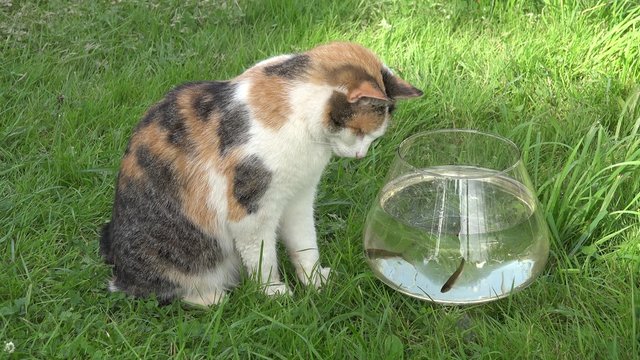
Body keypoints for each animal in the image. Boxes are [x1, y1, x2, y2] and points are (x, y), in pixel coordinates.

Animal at [100, 42, 422, 306]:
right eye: (359, 132)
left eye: (373, 137)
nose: (360, 155)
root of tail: (119, 268)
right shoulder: (250, 209)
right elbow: (262, 254)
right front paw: (273, 291)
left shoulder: (300, 196)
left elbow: (304, 241)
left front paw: (314, 279)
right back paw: (211, 297)